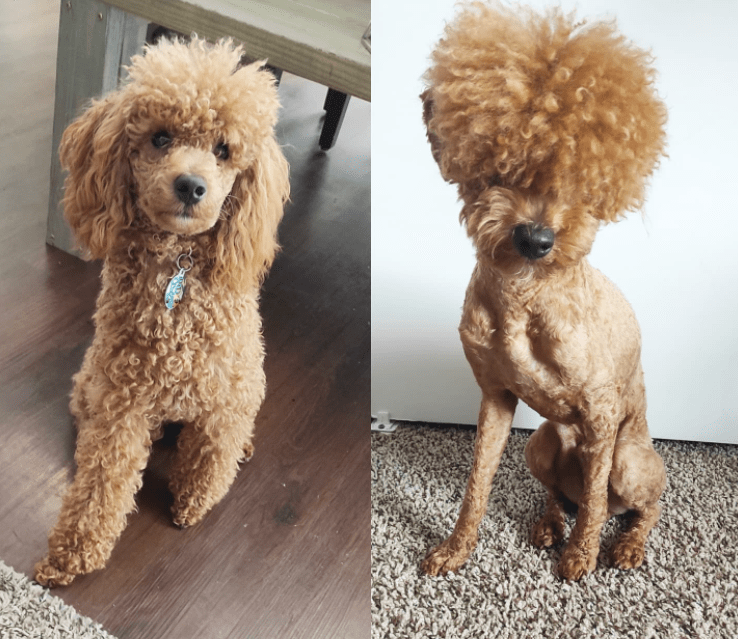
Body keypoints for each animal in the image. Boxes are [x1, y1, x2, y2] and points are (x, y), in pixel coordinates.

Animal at [35, 37, 289, 587]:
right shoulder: (121, 405)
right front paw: (72, 552)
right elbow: (102, 482)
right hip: (90, 382)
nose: (191, 185)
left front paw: (193, 501)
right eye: (160, 138)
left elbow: (211, 455)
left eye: (223, 150)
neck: (177, 265)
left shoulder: (229, 395)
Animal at [419, 2, 667, 581]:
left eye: (580, 178)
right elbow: (477, 485)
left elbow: (595, 502)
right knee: (560, 493)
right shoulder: (494, 397)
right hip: (541, 443)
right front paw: (456, 549)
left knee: (636, 505)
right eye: (498, 168)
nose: (535, 239)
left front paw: (581, 557)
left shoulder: (601, 414)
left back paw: (625, 545)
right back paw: (549, 524)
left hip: (628, 460)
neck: (523, 300)